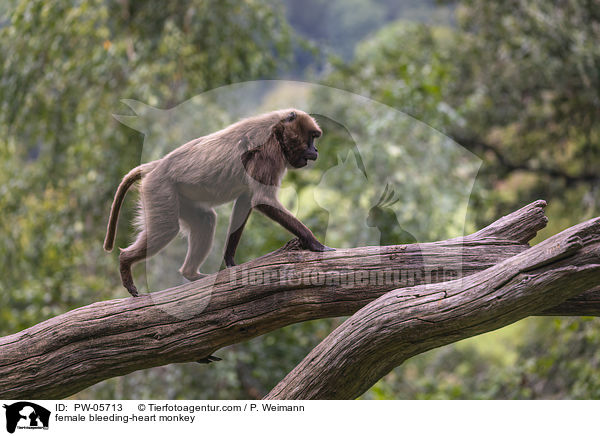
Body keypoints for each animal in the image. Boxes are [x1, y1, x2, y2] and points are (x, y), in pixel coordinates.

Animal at [105, 110, 336, 296]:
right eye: (312, 138)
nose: (316, 151)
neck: (277, 131)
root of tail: (157, 165)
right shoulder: (268, 152)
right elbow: (262, 199)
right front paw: (314, 243)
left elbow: (246, 200)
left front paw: (230, 260)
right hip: (160, 188)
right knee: (167, 229)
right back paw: (125, 261)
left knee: (205, 219)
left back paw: (191, 274)